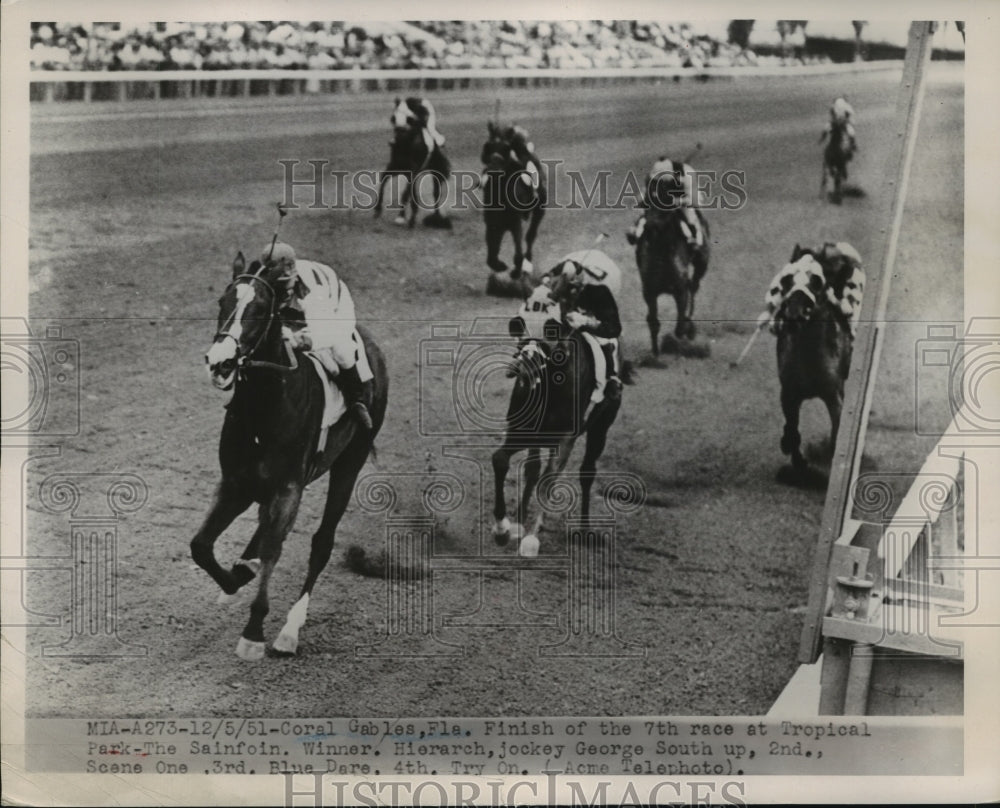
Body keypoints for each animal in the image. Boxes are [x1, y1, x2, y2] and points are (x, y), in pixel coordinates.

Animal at [191, 256, 390, 660]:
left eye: (260, 309)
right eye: (222, 301)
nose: (220, 362)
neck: (264, 407)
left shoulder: (288, 488)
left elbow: (273, 551)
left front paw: (254, 631)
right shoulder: (235, 483)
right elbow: (201, 547)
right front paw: (235, 579)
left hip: (351, 460)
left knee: (322, 542)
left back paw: (289, 630)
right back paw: (244, 568)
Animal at [478, 122, 544, 278]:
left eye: (506, 148)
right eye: (488, 146)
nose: (494, 169)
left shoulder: (515, 223)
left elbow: (518, 252)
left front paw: (518, 269)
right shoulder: (493, 224)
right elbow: (492, 255)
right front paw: (499, 265)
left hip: (539, 211)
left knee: (530, 236)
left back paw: (528, 261)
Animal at [490, 304, 620, 556]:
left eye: (547, 345)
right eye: (521, 343)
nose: (522, 368)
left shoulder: (565, 439)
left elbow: (548, 481)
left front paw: (531, 539)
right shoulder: (523, 431)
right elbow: (501, 459)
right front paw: (503, 529)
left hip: (600, 429)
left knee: (586, 472)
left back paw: (585, 529)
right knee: (533, 469)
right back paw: (519, 522)